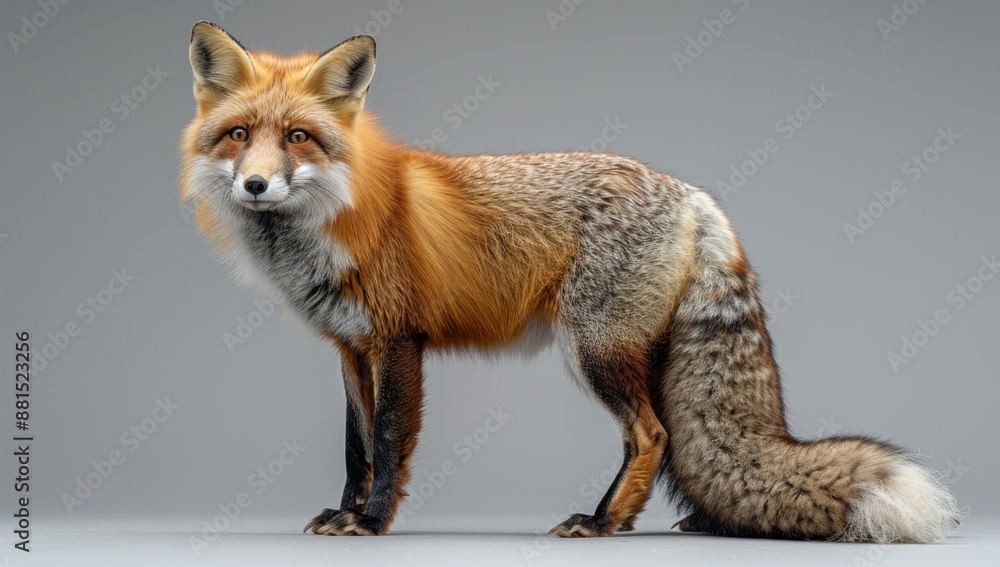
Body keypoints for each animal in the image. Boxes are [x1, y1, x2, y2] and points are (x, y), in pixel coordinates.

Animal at [180, 21, 960, 542]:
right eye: (239, 135)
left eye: (299, 138)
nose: (254, 185)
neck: (333, 222)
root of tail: (695, 195)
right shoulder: (349, 347)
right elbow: (357, 446)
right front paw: (346, 510)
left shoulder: (400, 341)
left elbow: (391, 441)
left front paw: (370, 524)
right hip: (621, 353)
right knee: (661, 437)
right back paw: (643, 519)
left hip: (596, 350)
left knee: (652, 434)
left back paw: (603, 520)